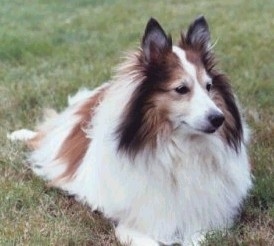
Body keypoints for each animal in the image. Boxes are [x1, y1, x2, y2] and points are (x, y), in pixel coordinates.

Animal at [8, 16, 253, 245]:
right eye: (181, 89)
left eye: (209, 86)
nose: (219, 119)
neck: (179, 148)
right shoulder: (132, 223)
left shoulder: (207, 222)